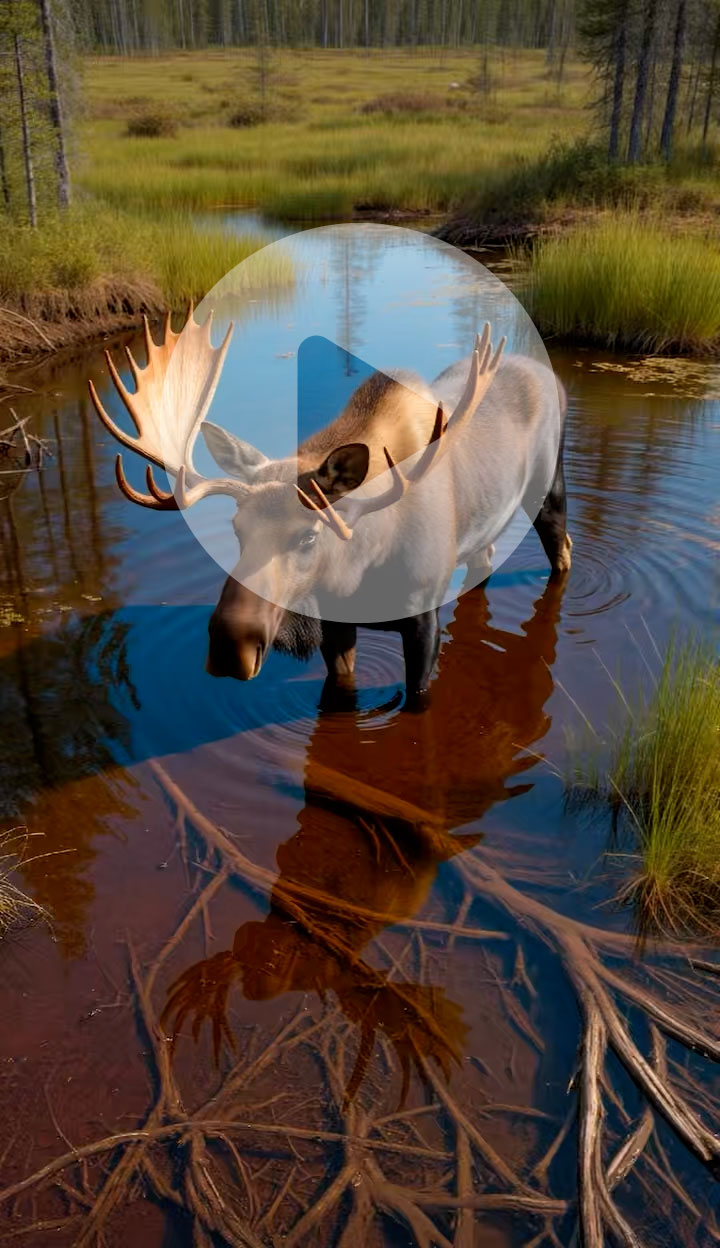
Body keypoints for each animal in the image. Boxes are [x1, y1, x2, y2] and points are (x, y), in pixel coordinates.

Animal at [89, 308, 571, 706]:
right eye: (236, 529)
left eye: (308, 535)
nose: (229, 648)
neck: (361, 568)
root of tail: (553, 378)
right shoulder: (335, 624)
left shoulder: (423, 616)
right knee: (485, 558)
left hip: (547, 489)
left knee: (562, 549)